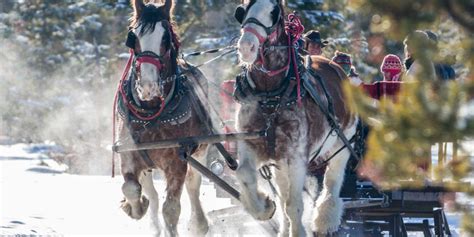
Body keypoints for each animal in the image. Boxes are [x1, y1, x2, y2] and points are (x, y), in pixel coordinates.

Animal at [115, 0, 209, 236]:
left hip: (201, 151)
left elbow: (171, 209)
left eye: (166, 38)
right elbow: (131, 188)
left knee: (193, 185)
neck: (151, 115)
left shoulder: (178, 162)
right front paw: (135, 207)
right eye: (133, 37)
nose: (148, 86)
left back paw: (199, 224)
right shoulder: (128, 155)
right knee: (152, 193)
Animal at [231, 0, 358, 235]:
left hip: (342, 144)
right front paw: (263, 206)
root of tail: (336, 68)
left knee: (332, 181)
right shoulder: (250, 144)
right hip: (279, 163)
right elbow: (245, 175)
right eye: (243, 9)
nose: (246, 46)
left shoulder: (297, 157)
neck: (270, 96)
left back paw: (324, 219)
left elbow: (294, 205)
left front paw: (298, 230)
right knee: (282, 195)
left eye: (274, 12)